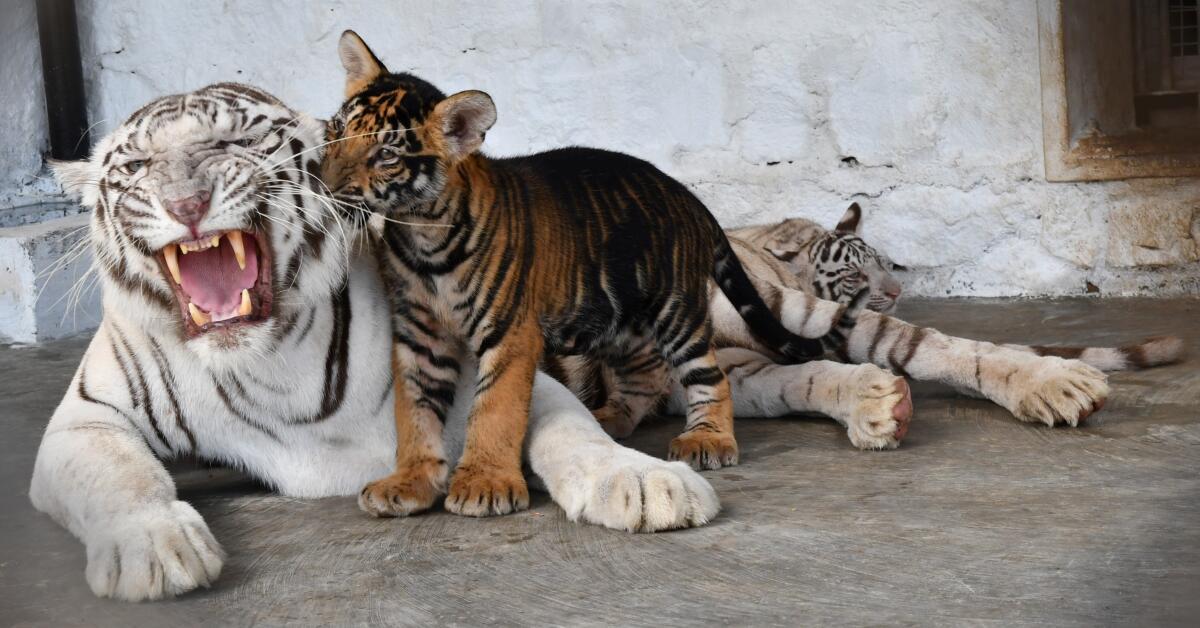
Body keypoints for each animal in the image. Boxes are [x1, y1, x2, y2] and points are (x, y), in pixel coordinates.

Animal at [30, 81, 720, 602]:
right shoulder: (89, 418)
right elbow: (123, 475)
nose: (187, 203)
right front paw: (155, 545)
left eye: (234, 142)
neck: (267, 361)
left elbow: (564, 432)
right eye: (137, 167)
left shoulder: (496, 368)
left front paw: (646, 483)